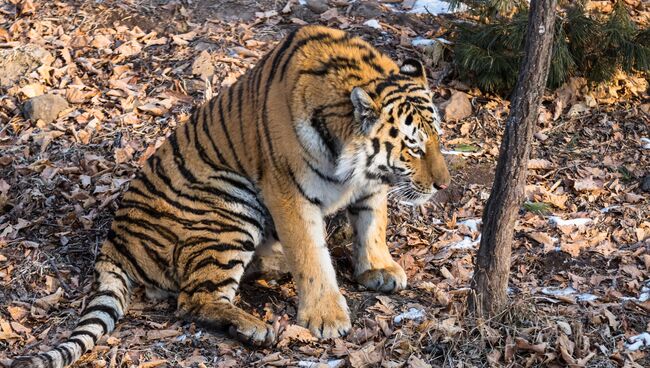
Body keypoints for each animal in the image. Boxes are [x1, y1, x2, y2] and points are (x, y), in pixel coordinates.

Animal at [13, 24, 450, 366]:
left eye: (436, 138)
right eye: (413, 147)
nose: (443, 185)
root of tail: (113, 244)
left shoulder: (369, 186)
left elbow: (373, 224)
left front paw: (379, 269)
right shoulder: (287, 191)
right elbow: (311, 255)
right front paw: (326, 317)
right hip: (230, 200)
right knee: (193, 300)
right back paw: (254, 328)